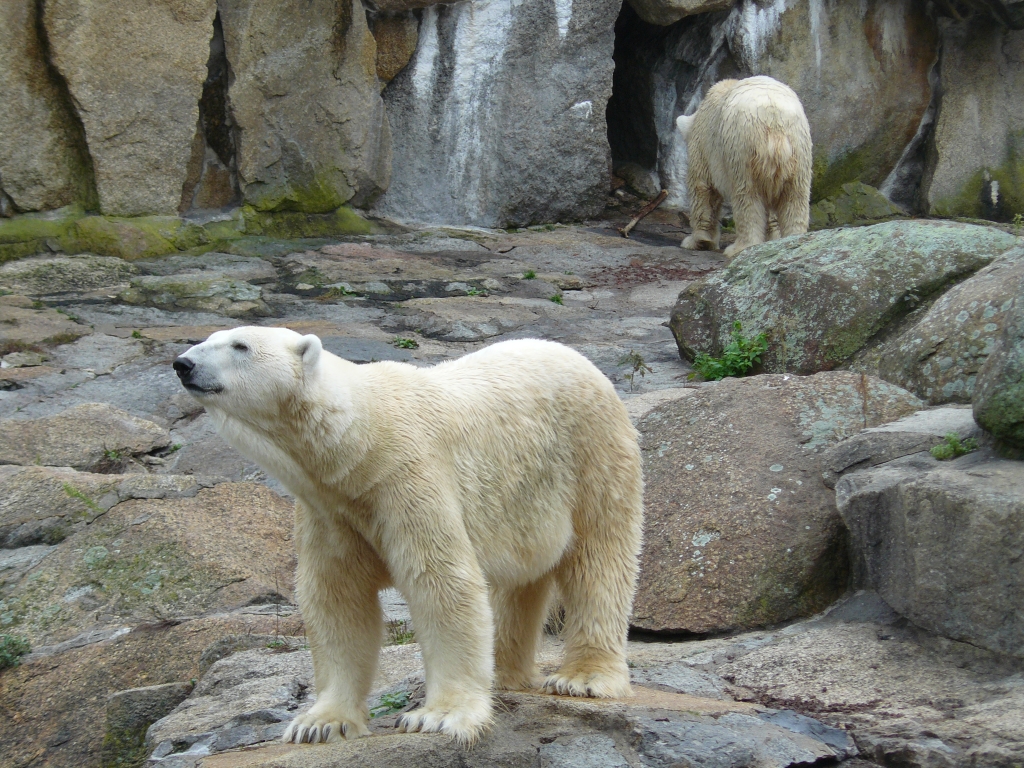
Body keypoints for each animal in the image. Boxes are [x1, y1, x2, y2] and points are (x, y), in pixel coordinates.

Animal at [172, 327, 644, 745]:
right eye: (208, 338)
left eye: (240, 345)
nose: (183, 364)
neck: (359, 442)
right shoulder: (329, 511)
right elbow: (336, 598)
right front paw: (319, 723)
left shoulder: (406, 478)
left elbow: (442, 582)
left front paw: (438, 716)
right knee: (519, 580)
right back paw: (505, 674)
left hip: (591, 457)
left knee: (598, 560)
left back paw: (582, 677)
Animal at [676, 75, 812, 259]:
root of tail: (774, 118)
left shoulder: (703, 145)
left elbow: (703, 188)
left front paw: (698, 241)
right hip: (799, 149)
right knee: (795, 197)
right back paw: (793, 239)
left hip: (742, 148)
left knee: (746, 196)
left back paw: (739, 247)